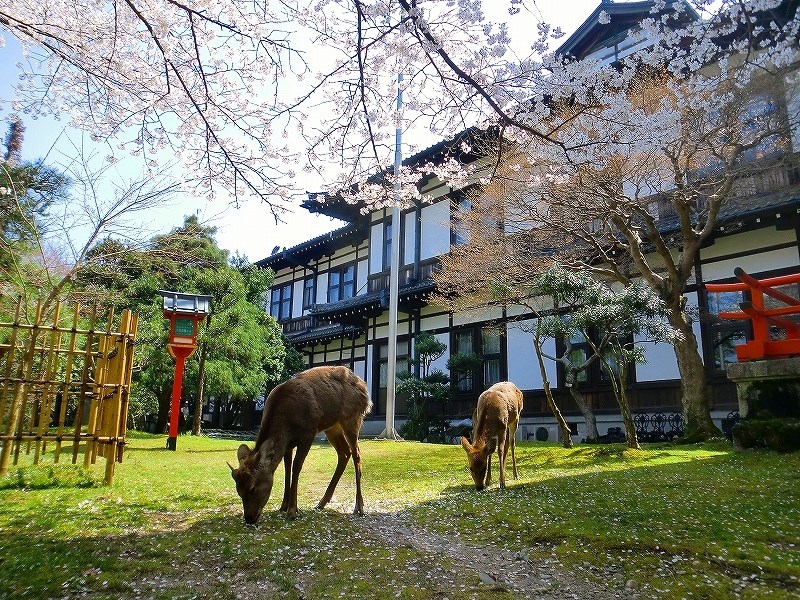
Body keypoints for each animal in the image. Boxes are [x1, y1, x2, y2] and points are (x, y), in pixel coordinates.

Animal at [229, 365, 372, 524]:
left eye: (253, 488)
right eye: (238, 490)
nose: (249, 519)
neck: (286, 422)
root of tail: (365, 390)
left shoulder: (308, 433)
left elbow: (296, 466)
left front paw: (292, 510)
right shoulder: (287, 444)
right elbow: (287, 468)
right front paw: (284, 505)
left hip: (352, 418)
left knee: (356, 454)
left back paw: (359, 507)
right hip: (332, 427)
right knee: (344, 453)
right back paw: (322, 502)